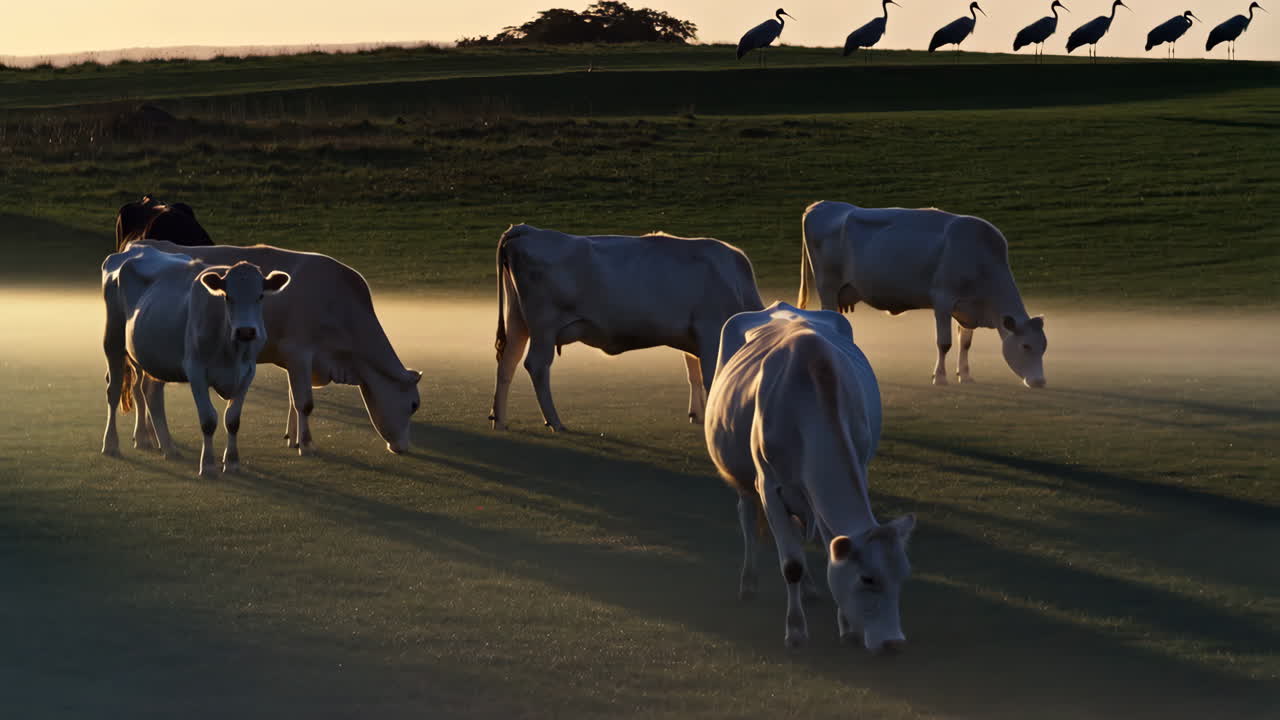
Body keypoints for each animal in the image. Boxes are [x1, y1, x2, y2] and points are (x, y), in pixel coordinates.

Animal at [101, 246, 291, 476]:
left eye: (260, 296)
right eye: (228, 297)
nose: (246, 331)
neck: (230, 349)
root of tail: (137, 249)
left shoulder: (247, 372)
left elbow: (233, 420)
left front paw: (232, 462)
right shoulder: (196, 370)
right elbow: (208, 420)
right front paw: (208, 465)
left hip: (155, 355)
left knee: (151, 394)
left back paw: (169, 448)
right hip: (113, 339)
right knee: (114, 391)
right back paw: (111, 444)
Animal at [131, 240, 423, 456]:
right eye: (414, 405)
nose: (403, 447)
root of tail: (141, 243)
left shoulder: (294, 360)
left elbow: (294, 399)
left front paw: (293, 438)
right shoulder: (299, 352)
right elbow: (304, 402)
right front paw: (306, 444)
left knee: (142, 389)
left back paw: (149, 437)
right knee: (141, 391)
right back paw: (145, 438)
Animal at [490, 223, 764, 432]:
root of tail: (526, 229)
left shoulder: (695, 336)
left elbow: (693, 373)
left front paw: (698, 414)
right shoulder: (709, 329)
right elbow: (710, 376)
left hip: (518, 321)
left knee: (508, 362)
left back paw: (499, 420)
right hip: (544, 326)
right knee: (536, 365)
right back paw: (555, 422)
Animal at [705, 301, 916, 653]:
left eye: (903, 577)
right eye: (867, 578)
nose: (894, 643)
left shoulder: (856, 467)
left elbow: (829, 548)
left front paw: (846, 627)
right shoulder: (769, 487)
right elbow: (791, 563)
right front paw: (795, 631)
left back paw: (810, 589)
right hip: (742, 478)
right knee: (747, 518)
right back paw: (749, 582)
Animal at [798, 201, 1048, 388]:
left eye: (1043, 347)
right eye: (1026, 346)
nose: (1040, 382)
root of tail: (820, 205)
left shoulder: (967, 307)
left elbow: (965, 343)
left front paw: (965, 375)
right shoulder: (943, 299)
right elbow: (944, 343)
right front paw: (940, 377)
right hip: (828, 287)